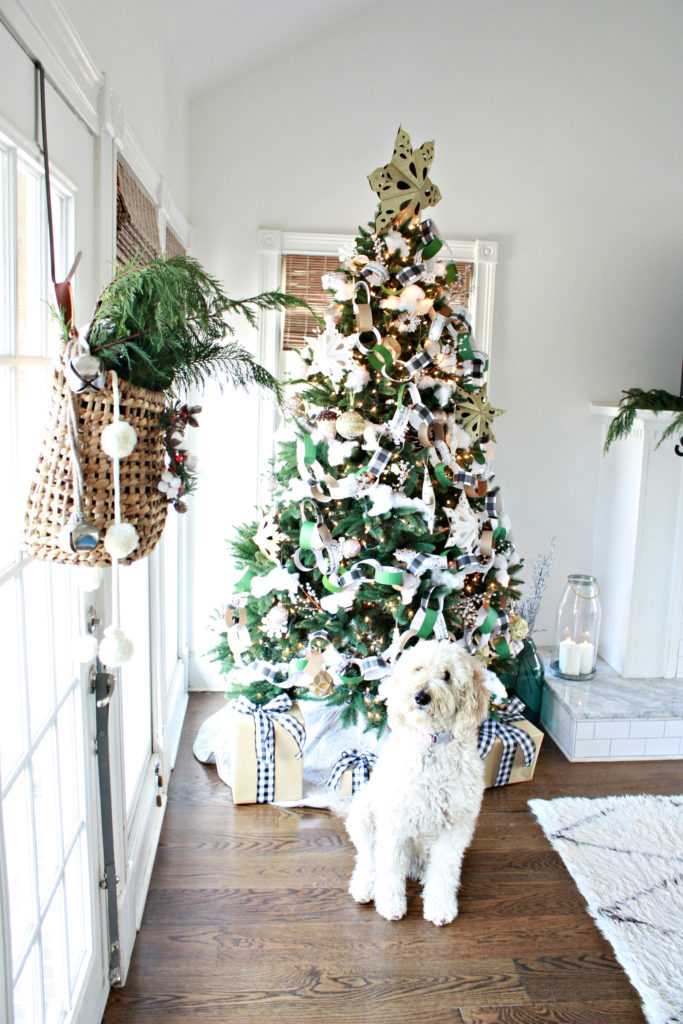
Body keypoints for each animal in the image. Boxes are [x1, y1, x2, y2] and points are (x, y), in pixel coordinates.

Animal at [348, 638, 491, 929]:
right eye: (418, 669)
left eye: (447, 675)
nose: (421, 696)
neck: (432, 746)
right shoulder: (394, 823)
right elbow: (389, 868)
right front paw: (390, 904)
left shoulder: (454, 827)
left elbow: (445, 872)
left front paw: (440, 907)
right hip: (363, 812)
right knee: (368, 858)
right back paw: (365, 886)